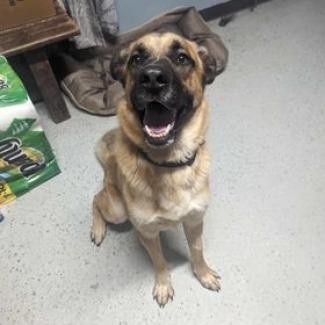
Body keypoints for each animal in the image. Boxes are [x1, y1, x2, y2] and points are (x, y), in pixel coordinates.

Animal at [90, 31, 225, 306]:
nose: (152, 77)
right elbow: (160, 261)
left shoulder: (195, 221)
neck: (168, 164)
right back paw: (97, 229)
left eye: (182, 58)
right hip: (117, 210)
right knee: (95, 199)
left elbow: (197, 250)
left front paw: (203, 274)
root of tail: (108, 165)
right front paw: (163, 285)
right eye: (137, 58)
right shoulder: (149, 233)